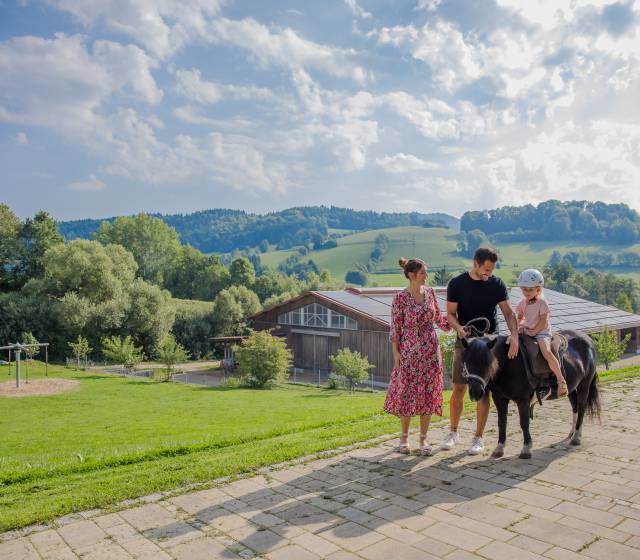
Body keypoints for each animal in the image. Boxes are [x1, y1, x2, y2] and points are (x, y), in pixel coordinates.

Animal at [460, 330, 600, 458]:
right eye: (467, 362)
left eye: (487, 362)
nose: (475, 392)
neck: (509, 361)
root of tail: (588, 340)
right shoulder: (499, 399)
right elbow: (501, 422)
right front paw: (499, 448)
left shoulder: (523, 399)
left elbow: (524, 422)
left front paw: (526, 449)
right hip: (571, 387)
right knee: (575, 407)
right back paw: (572, 433)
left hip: (584, 385)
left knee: (581, 407)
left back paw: (576, 437)